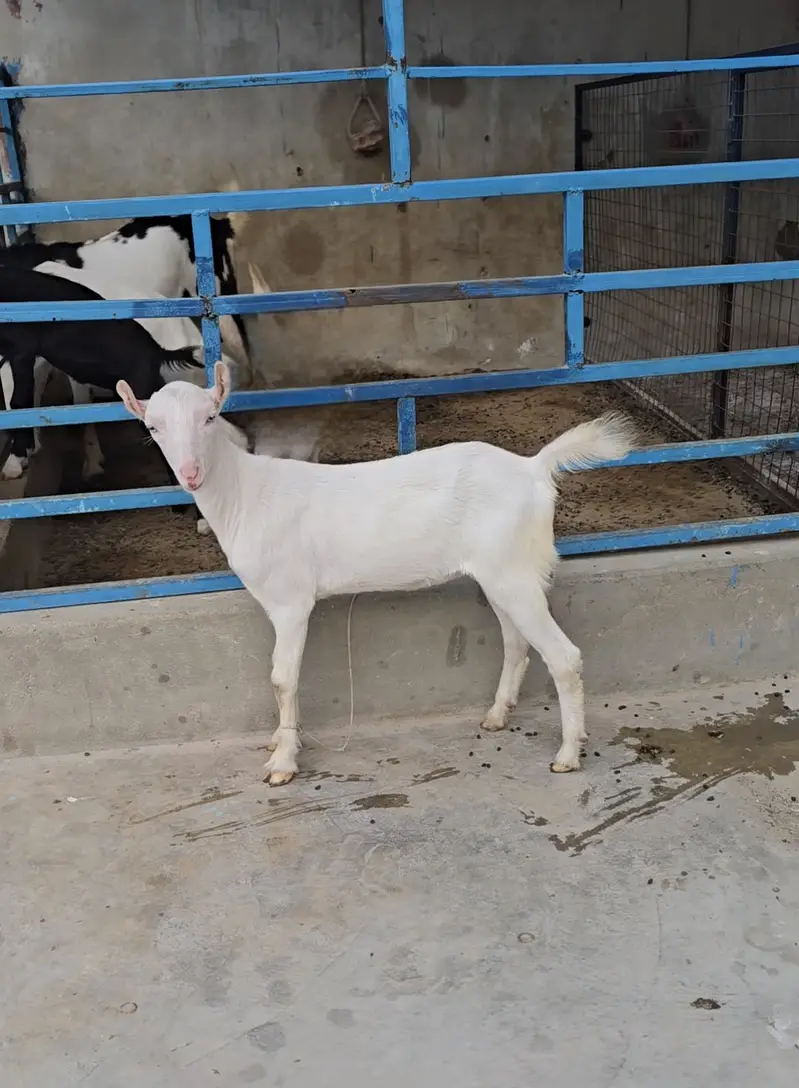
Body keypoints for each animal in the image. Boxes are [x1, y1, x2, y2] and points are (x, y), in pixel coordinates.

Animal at [118, 361, 636, 786]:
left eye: (209, 418)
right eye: (152, 427)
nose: (190, 473)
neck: (245, 494)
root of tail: (533, 468)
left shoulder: (290, 600)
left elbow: (283, 678)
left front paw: (282, 763)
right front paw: (281, 742)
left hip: (512, 569)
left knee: (563, 656)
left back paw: (568, 754)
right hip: (501, 573)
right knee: (516, 641)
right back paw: (497, 714)